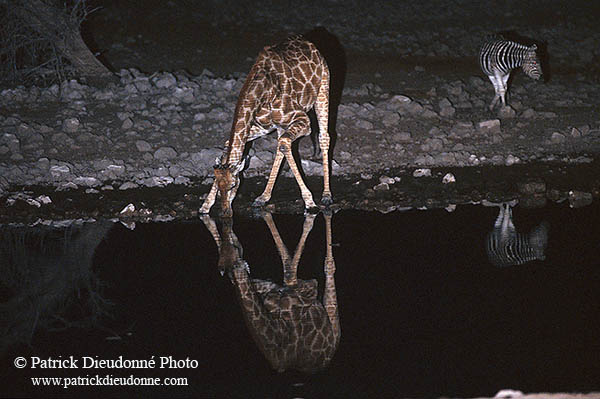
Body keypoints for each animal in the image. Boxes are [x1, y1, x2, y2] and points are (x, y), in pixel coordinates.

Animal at [200, 35, 332, 219]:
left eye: (233, 185)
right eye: (219, 187)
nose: (225, 213)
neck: (261, 92)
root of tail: (309, 43)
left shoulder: (304, 121)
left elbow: (286, 143)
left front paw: (310, 203)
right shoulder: (263, 126)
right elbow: (229, 145)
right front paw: (205, 206)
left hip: (323, 89)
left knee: (323, 137)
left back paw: (327, 196)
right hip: (280, 125)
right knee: (281, 146)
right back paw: (262, 197)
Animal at [200, 212, 340, 376]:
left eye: (233, 248)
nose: (237, 248)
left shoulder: (308, 287)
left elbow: (290, 268)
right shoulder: (268, 285)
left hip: (333, 326)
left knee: (329, 267)